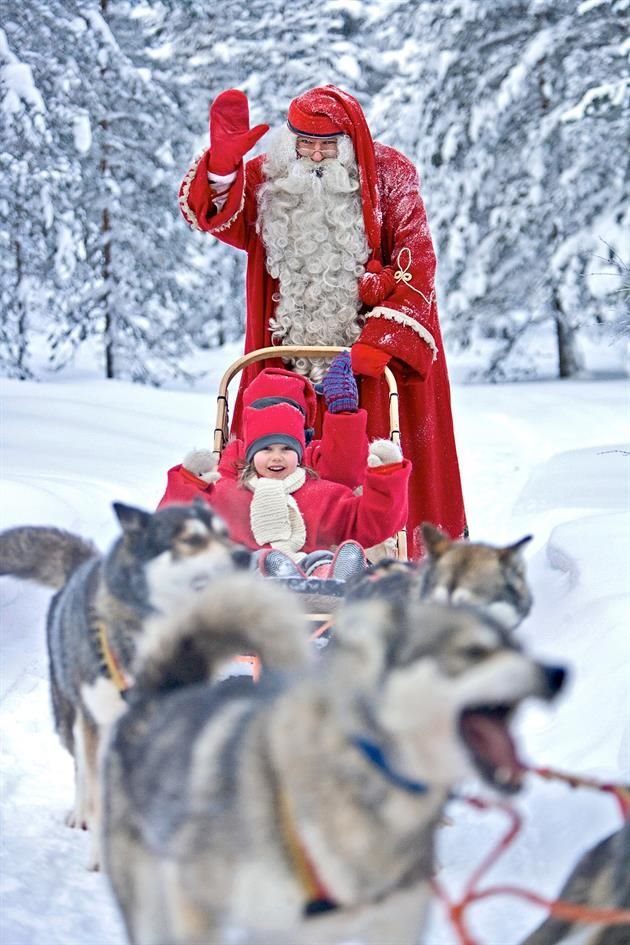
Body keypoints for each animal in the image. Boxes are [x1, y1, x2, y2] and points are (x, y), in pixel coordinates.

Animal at [0, 498, 252, 868]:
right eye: (191, 539)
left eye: (226, 532)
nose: (245, 556)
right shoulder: (99, 727)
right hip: (72, 721)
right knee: (81, 772)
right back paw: (81, 814)